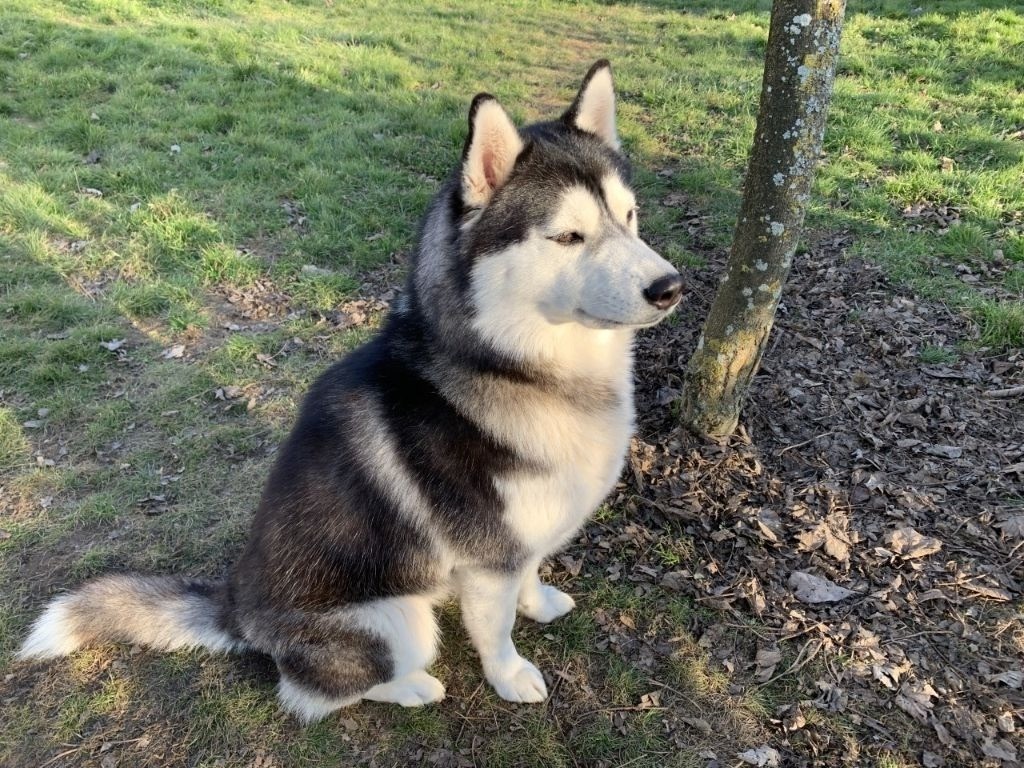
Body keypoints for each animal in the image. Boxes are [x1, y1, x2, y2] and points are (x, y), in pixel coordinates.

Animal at [16, 63, 684, 724]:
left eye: (629, 217)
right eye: (569, 237)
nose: (670, 287)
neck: (514, 365)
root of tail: (239, 608)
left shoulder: (521, 541)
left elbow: (530, 571)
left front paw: (538, 602)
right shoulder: (485, 563)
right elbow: (494, 633)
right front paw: (510, 676)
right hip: (399, 620)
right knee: (310, 692)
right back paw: (413, 688)